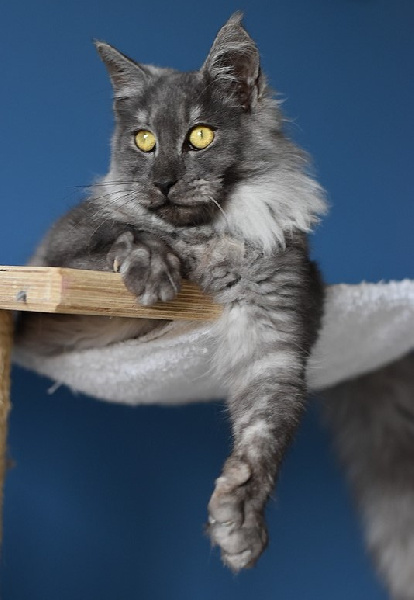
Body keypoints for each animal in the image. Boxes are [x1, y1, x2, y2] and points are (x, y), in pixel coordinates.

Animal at [18, 11, 326, 568]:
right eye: (143, 141)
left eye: (200, 136)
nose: (161, 182)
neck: (204, 240)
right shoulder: (60, 264)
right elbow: (123, 236)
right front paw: (152, 263)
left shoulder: (273, 336)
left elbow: (267, 429)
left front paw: (240, 516)